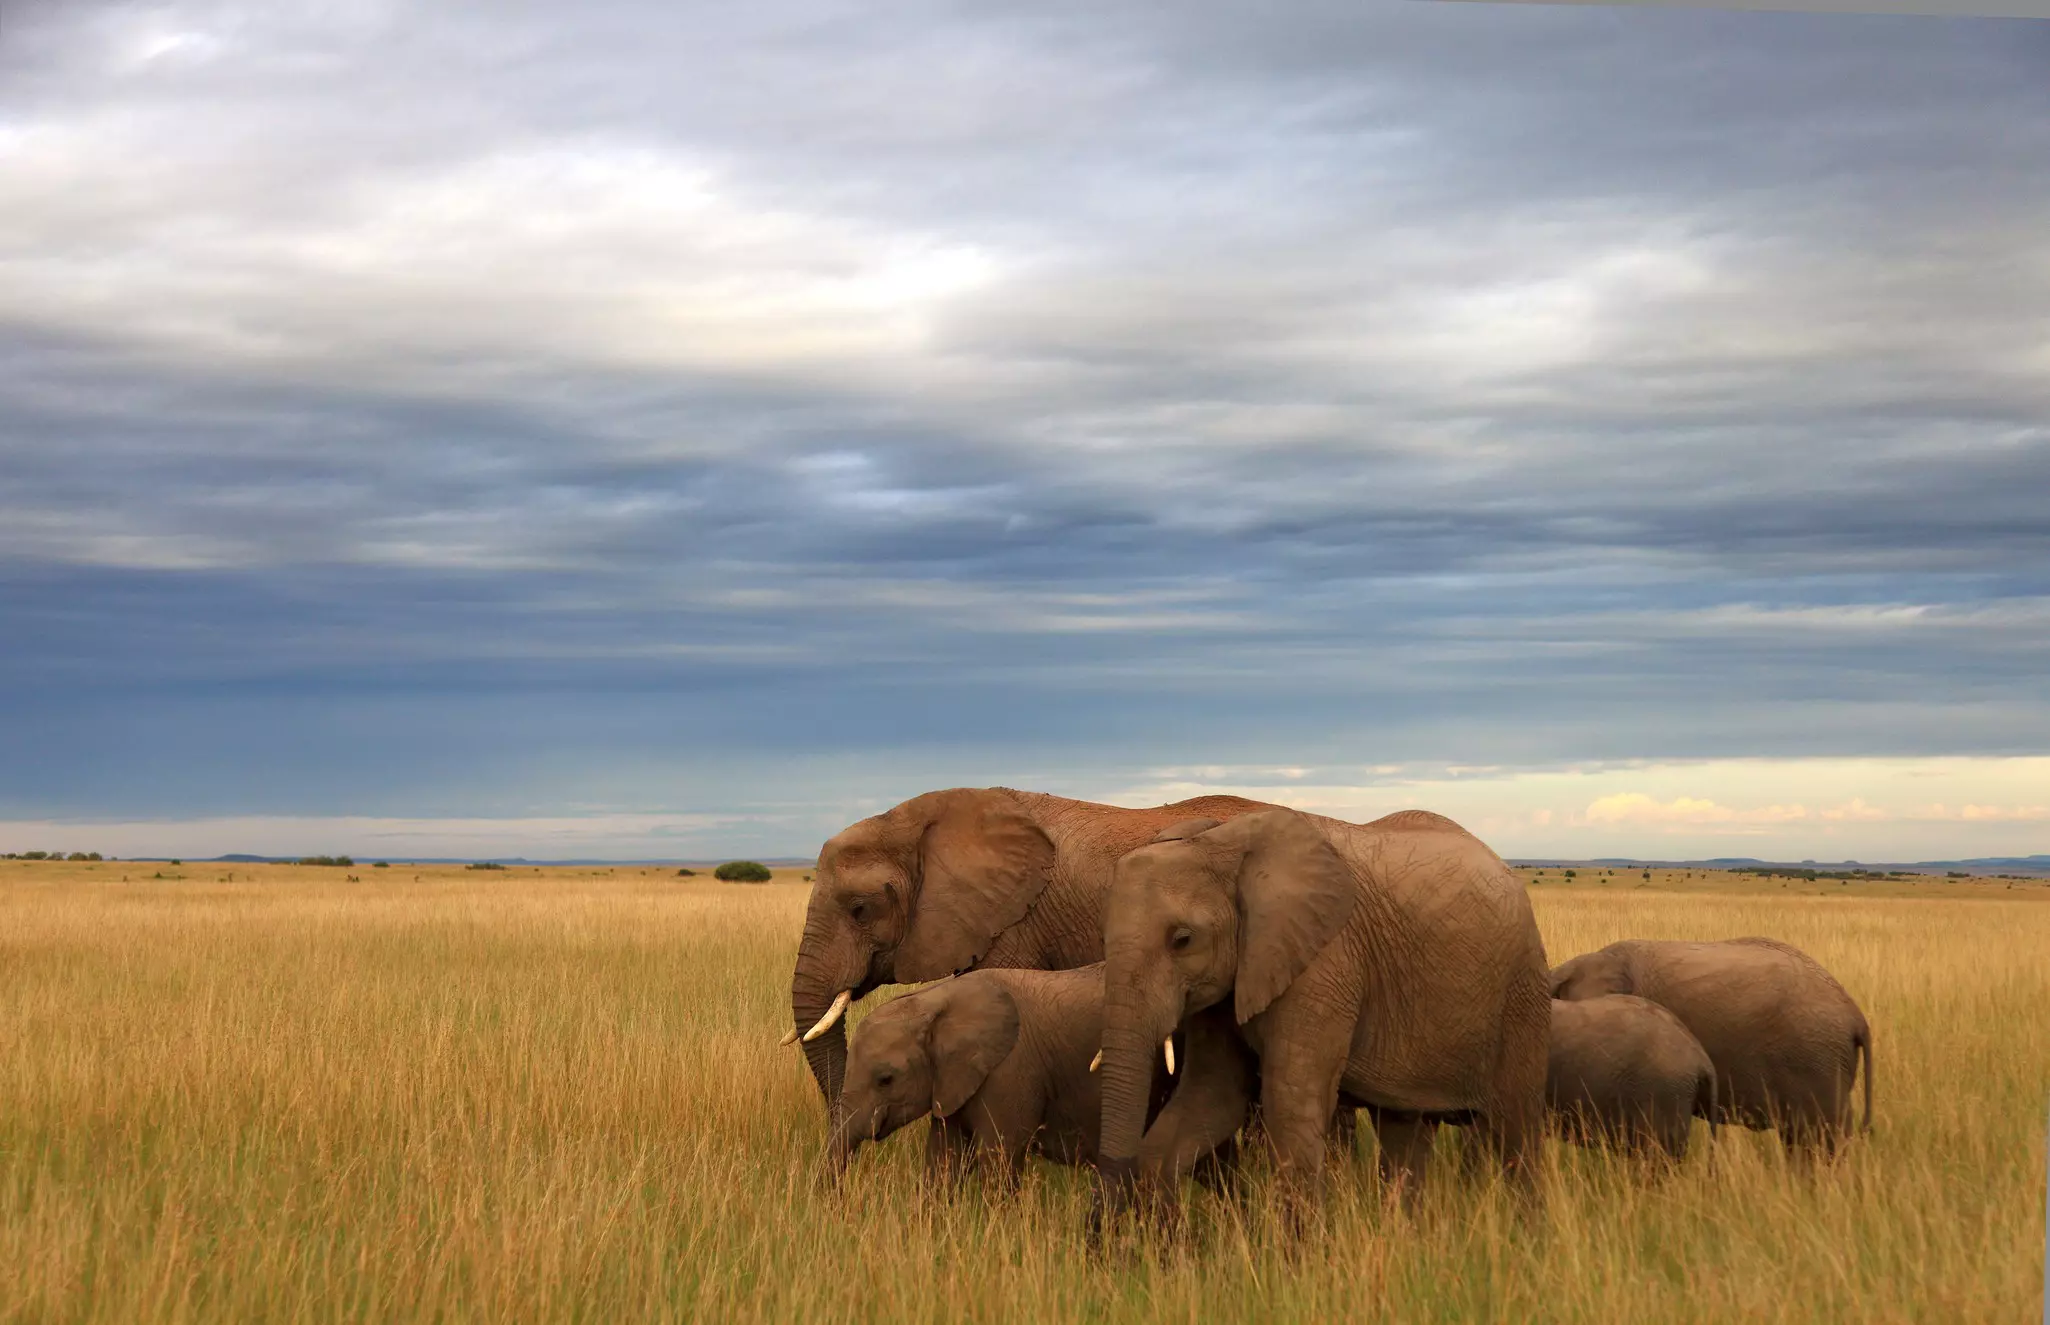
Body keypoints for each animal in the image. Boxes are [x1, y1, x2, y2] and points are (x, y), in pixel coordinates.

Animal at [827, 964, 1254, 1188]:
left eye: (886, 1079)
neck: (936, 1000)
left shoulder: (1010, 1072)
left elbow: (998, 1160)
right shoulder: (952, 1083)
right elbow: (943, 1162)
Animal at [1093, 807, 1551, 1217]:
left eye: (1182, 939)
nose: (1105, 1224)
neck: (1220, 843)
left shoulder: (1325, 962)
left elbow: (1290, 1107)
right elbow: (1213, 1094)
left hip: (1522, 992)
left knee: (1517, 1134)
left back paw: (1526, 1232)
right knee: (1405, 1134)